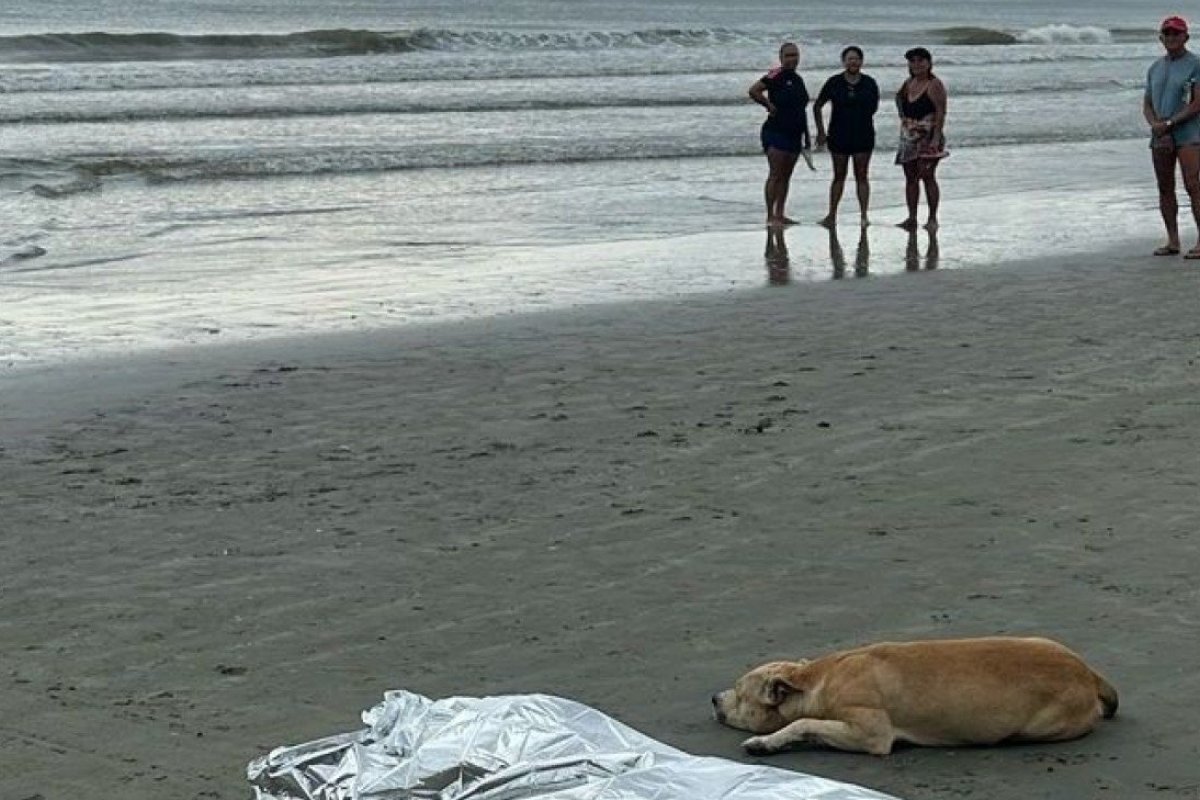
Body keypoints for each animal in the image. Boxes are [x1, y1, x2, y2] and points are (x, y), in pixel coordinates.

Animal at [710, 638, 1113, 758]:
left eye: (739, 693)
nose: (714, 697)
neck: (816, 680)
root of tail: (1088, 671)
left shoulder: (870, 734)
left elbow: (804, 723)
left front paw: (766, 741)